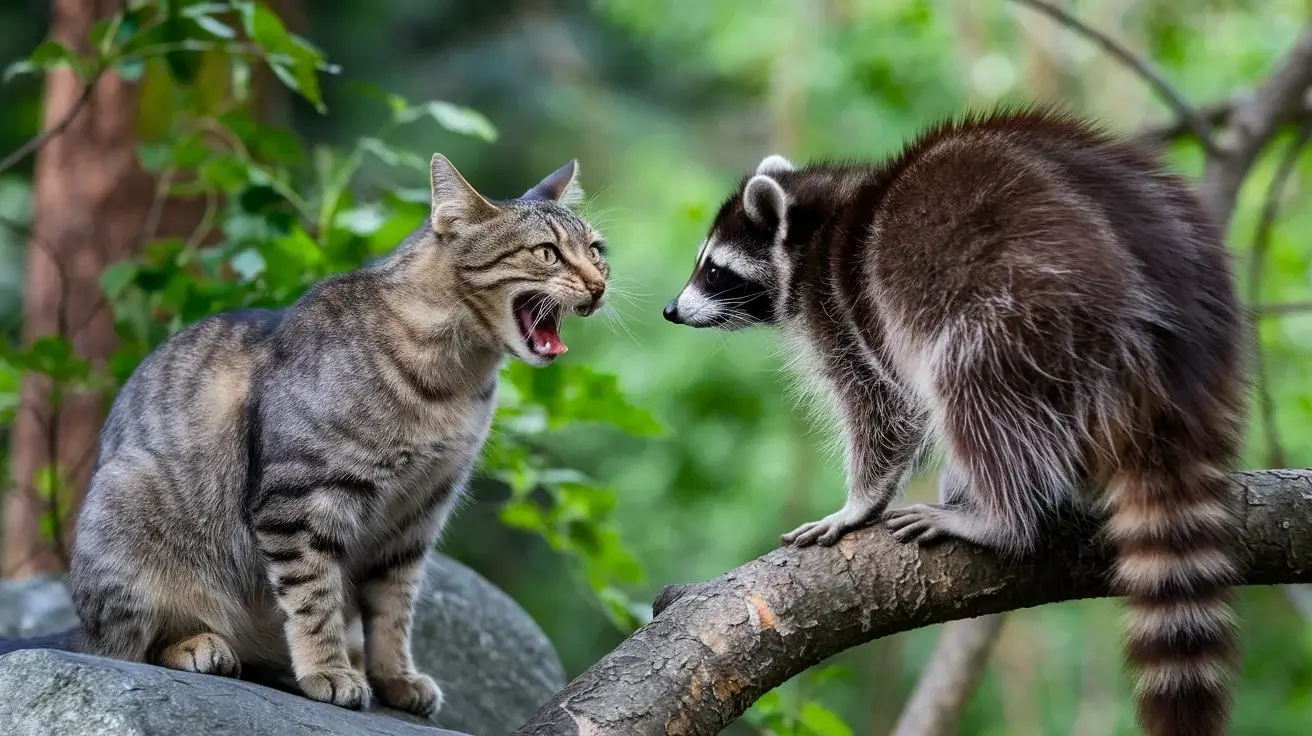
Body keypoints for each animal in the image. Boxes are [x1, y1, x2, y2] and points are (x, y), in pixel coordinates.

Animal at [3, 153, 608, 713]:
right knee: (127, 646)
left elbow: (394, 611)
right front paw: (328, 672)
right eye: (547, 253)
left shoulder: (418, 516)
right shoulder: (300, 501)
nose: (600, 284)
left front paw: (395, 677)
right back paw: (202, 646)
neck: (457, 382)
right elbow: (313, 598)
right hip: (126, 507)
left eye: (598, 249)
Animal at [666, 108, 1249, 734]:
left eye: (714, 270)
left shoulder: (844, 309)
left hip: (1028, 308)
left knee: (971, 387)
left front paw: (859, 504)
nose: (671, 310)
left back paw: (1001, 516)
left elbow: (887, 409)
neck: (816, 225)